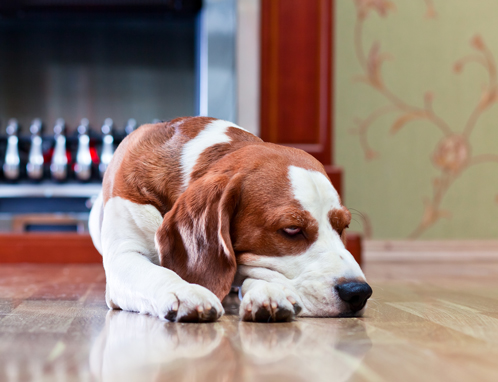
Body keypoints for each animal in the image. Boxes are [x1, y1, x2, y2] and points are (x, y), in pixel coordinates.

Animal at [89, 116, 372, 322]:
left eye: (343, 226)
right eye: (291, 229)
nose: (359, 292)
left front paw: (268, 292)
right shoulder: (124, 255)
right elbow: (155, 273)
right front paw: (186, 291)